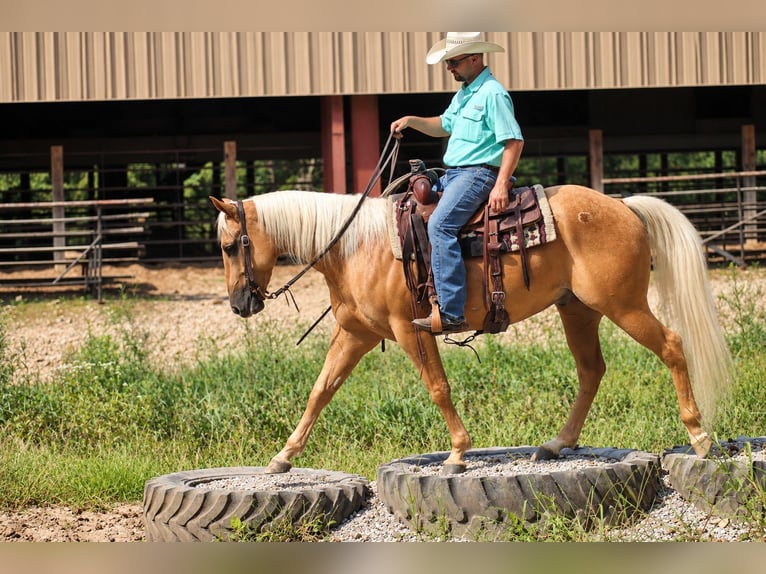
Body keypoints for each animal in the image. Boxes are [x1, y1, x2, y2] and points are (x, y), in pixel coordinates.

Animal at [210, 184, 733, 474]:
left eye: (232, 246)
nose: (238, 305)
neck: (357, 246)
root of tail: (623, 205)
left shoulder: (411, 330)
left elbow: (438, 388)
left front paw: (458, 453)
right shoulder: (355, 334)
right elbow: (320, 391)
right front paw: (283, 457)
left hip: (623, 305)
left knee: (672, 346)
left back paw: (699, 437)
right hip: (578, 309)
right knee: (591, 371)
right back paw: (557, 444)